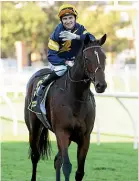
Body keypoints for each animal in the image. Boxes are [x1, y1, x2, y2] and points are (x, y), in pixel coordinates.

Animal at [24, 34, 107, 181]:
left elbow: (78, 172)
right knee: (35, 156)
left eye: (104, 57)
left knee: (57, 160)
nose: (101, 85)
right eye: (87, 58)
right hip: (34, 128)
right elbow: (66, 166)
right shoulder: (62, 133)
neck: (76, 97)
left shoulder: (85, 137)